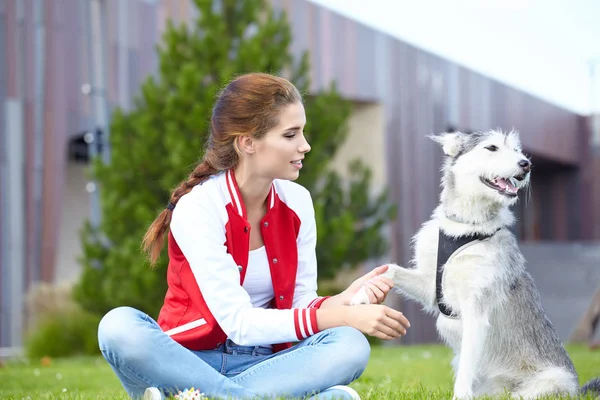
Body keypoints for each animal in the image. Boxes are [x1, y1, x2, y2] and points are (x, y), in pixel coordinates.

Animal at [352, 130, 600, 398]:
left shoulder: (475, 310)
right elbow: (391, 269)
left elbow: (466, 366)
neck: (465, 228)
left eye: (517, 150)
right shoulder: (430, 286)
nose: (526, 164)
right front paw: (363, 293)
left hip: (547, 382)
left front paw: (459, 395)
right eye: (491, 148)